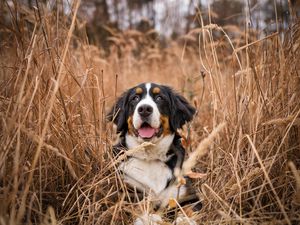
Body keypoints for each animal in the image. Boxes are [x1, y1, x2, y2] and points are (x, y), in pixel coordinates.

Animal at [108, 82, 202, 223]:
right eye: (135, 98)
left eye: (159, 98)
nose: (144, 109)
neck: (150, 157)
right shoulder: (128, 193)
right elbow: (139, 208)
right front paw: (151, 218)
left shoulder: (187, 195)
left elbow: (188, 210)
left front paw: (184, 220)